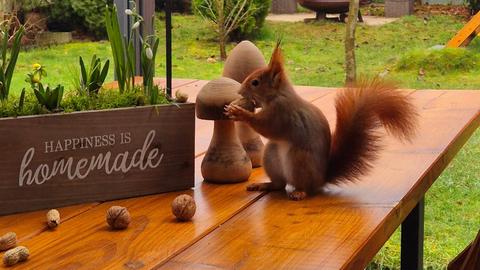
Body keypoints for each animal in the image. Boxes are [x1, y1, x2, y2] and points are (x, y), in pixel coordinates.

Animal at [225, 43, 416, 200]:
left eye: (255, 82)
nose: (240, 92)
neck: (278, 96)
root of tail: (320, 179)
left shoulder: (282, 113)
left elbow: (267, 127)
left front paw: (240, 113)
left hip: (299, 159)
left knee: (303, 187)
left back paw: (299, 192)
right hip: (271, 155)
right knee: (279, 184)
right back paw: (264, 185)